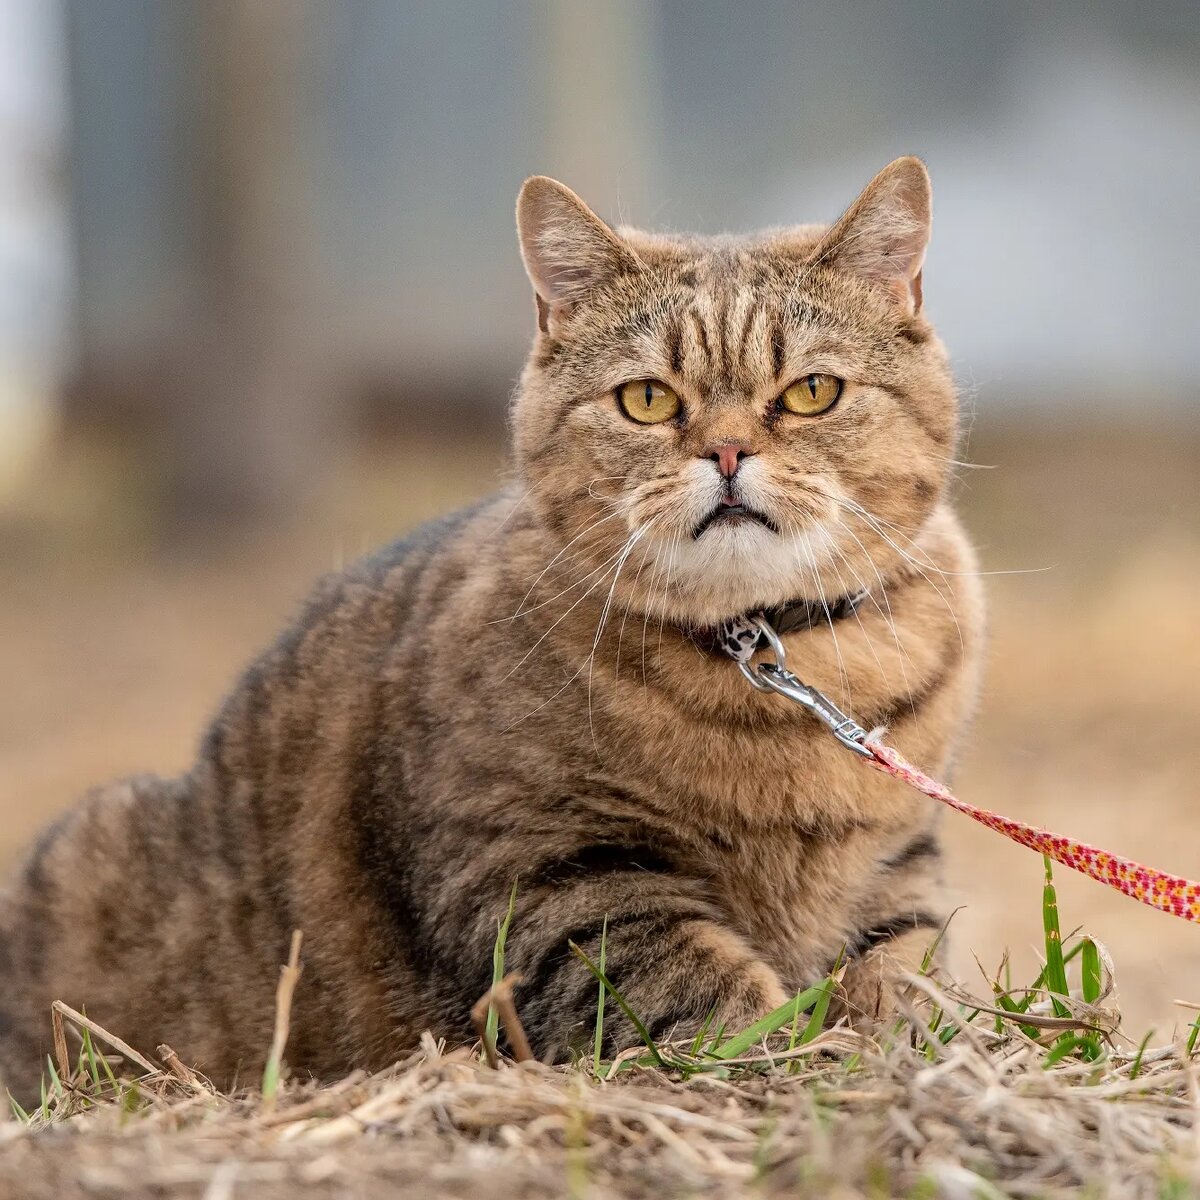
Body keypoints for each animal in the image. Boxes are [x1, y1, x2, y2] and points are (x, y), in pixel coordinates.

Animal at [0, 157, 984, 1099]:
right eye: (648, 401)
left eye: (813, 391)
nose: (729, 450)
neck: (762, 654)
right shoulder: (539, 876)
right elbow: (709, 994)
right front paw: (800, 1059)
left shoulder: (899, 862)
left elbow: (902, 972)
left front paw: (897, 1045)